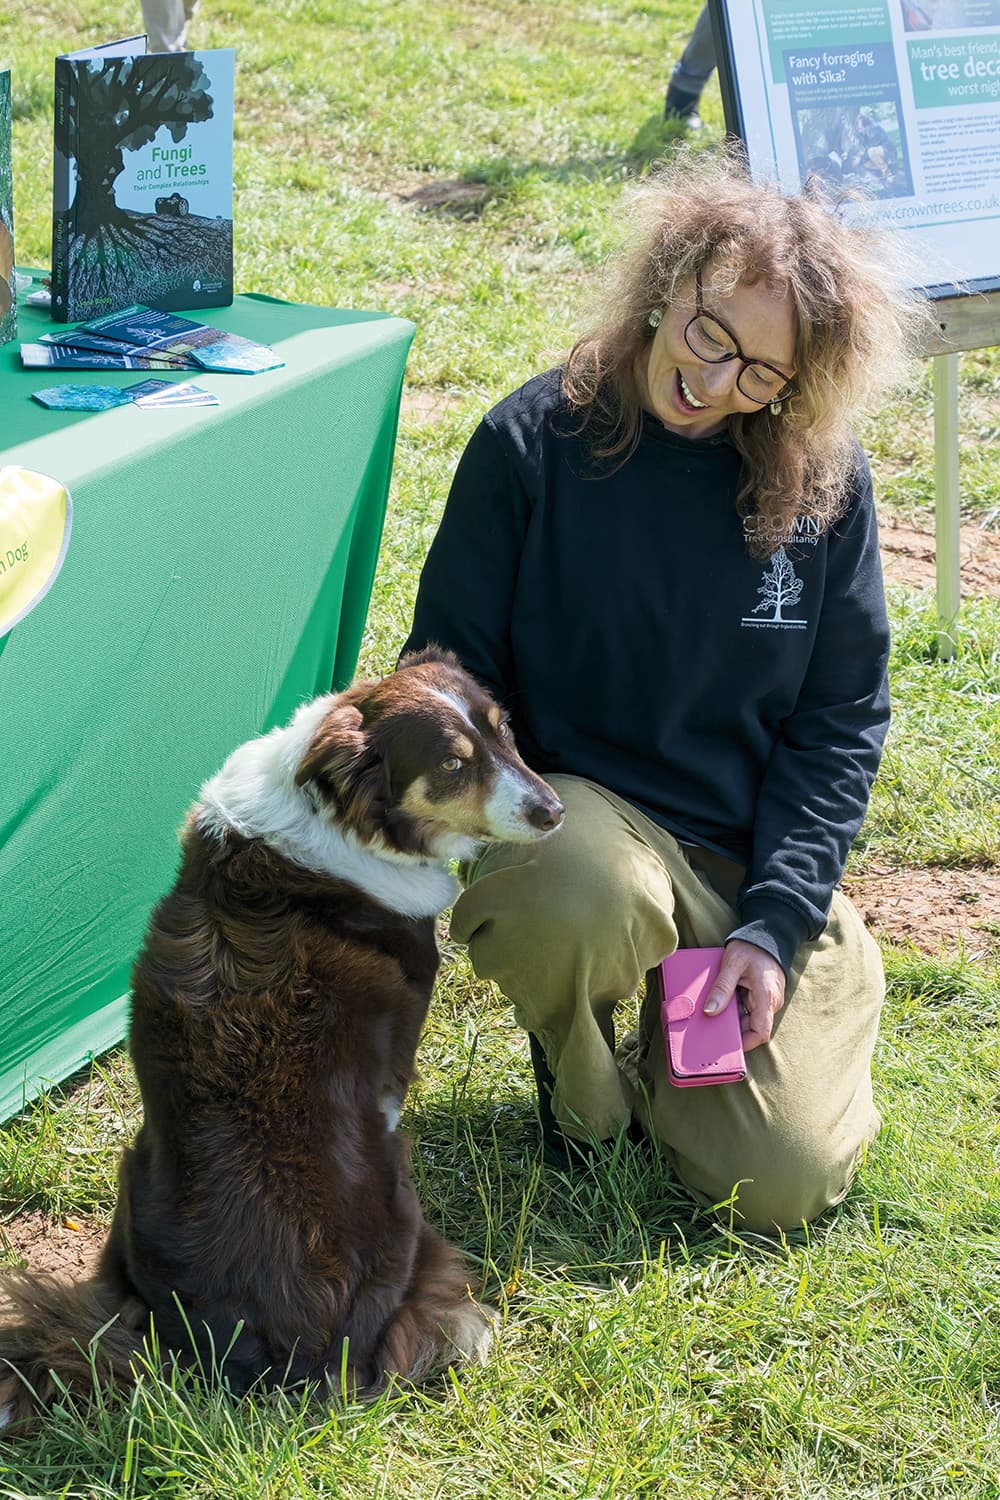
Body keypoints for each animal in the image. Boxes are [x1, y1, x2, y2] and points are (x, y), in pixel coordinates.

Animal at [0, 645, 563, 1428]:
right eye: (452, 764)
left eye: (503, 731)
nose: (553, 812)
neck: (343, 816)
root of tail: (284, 1367)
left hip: (133, 1178)